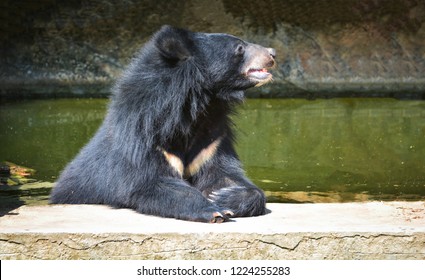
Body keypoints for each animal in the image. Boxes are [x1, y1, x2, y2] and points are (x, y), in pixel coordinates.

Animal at [49, 26, 274, 223]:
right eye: (239, 48)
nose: (272, 53)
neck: (196, 108)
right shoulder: (144, 137)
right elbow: (148, 183)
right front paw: (213, 210)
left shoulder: (211, 141)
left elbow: (223, 173)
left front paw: (224, 196)